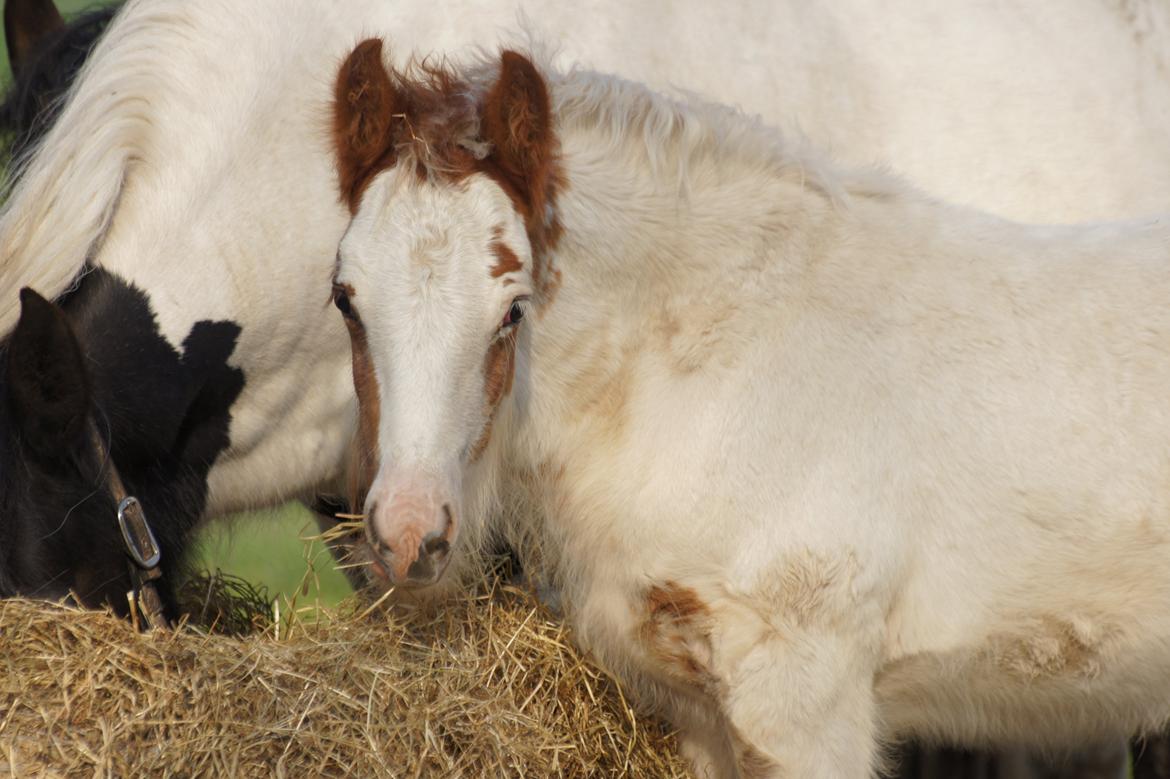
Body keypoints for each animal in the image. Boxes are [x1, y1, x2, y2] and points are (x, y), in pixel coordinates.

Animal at [329, 40, 1170, 776]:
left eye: (512, 309)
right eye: (345, 299)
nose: (409, 533)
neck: (718, 363)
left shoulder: (804, 701)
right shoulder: (703, 713)